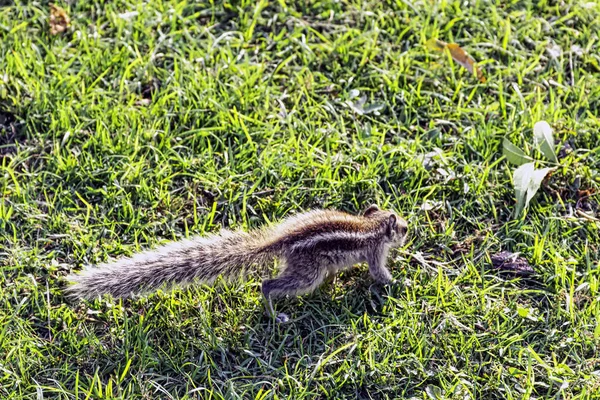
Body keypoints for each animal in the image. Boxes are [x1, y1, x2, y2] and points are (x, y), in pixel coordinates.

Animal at [68, 205, 410, 324]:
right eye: (403, 228)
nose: (410, 231)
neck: (373, 225)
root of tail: (280, 241)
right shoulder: (375, 252)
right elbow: (379, 274)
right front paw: (401, 282)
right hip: (306, 274)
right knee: (269, 284)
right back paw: (275, 314)